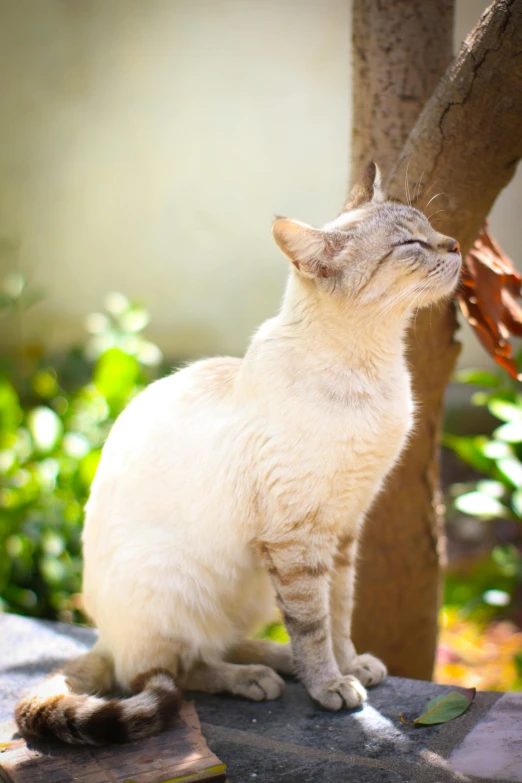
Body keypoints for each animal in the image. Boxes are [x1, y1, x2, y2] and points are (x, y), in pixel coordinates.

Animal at [15, 162, 460, 744]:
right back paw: (253, 678)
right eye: (411, 243)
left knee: (216, 643)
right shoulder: (298, 539)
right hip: (181, 583)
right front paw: (330, 686)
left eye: (431, 228)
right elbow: (313, 625)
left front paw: (349, 664)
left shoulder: (343, 529)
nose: (455, 244)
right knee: (165, 671)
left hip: (252, 586)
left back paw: (274, 659)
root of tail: (103, 636)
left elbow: (339, 612)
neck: (374, 369)